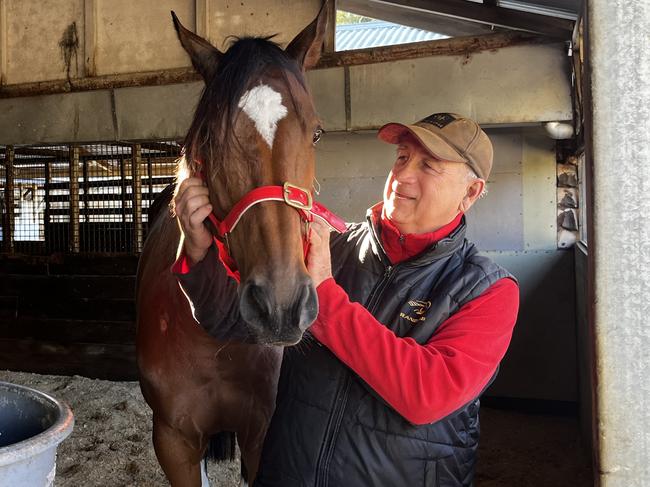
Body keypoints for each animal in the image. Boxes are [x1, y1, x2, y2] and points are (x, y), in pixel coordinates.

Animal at [135, 2, 332, 484]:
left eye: (316, 133)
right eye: (211, 138)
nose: (280, 306)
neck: (215, 338)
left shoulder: (263, 438)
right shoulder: (174, 441)